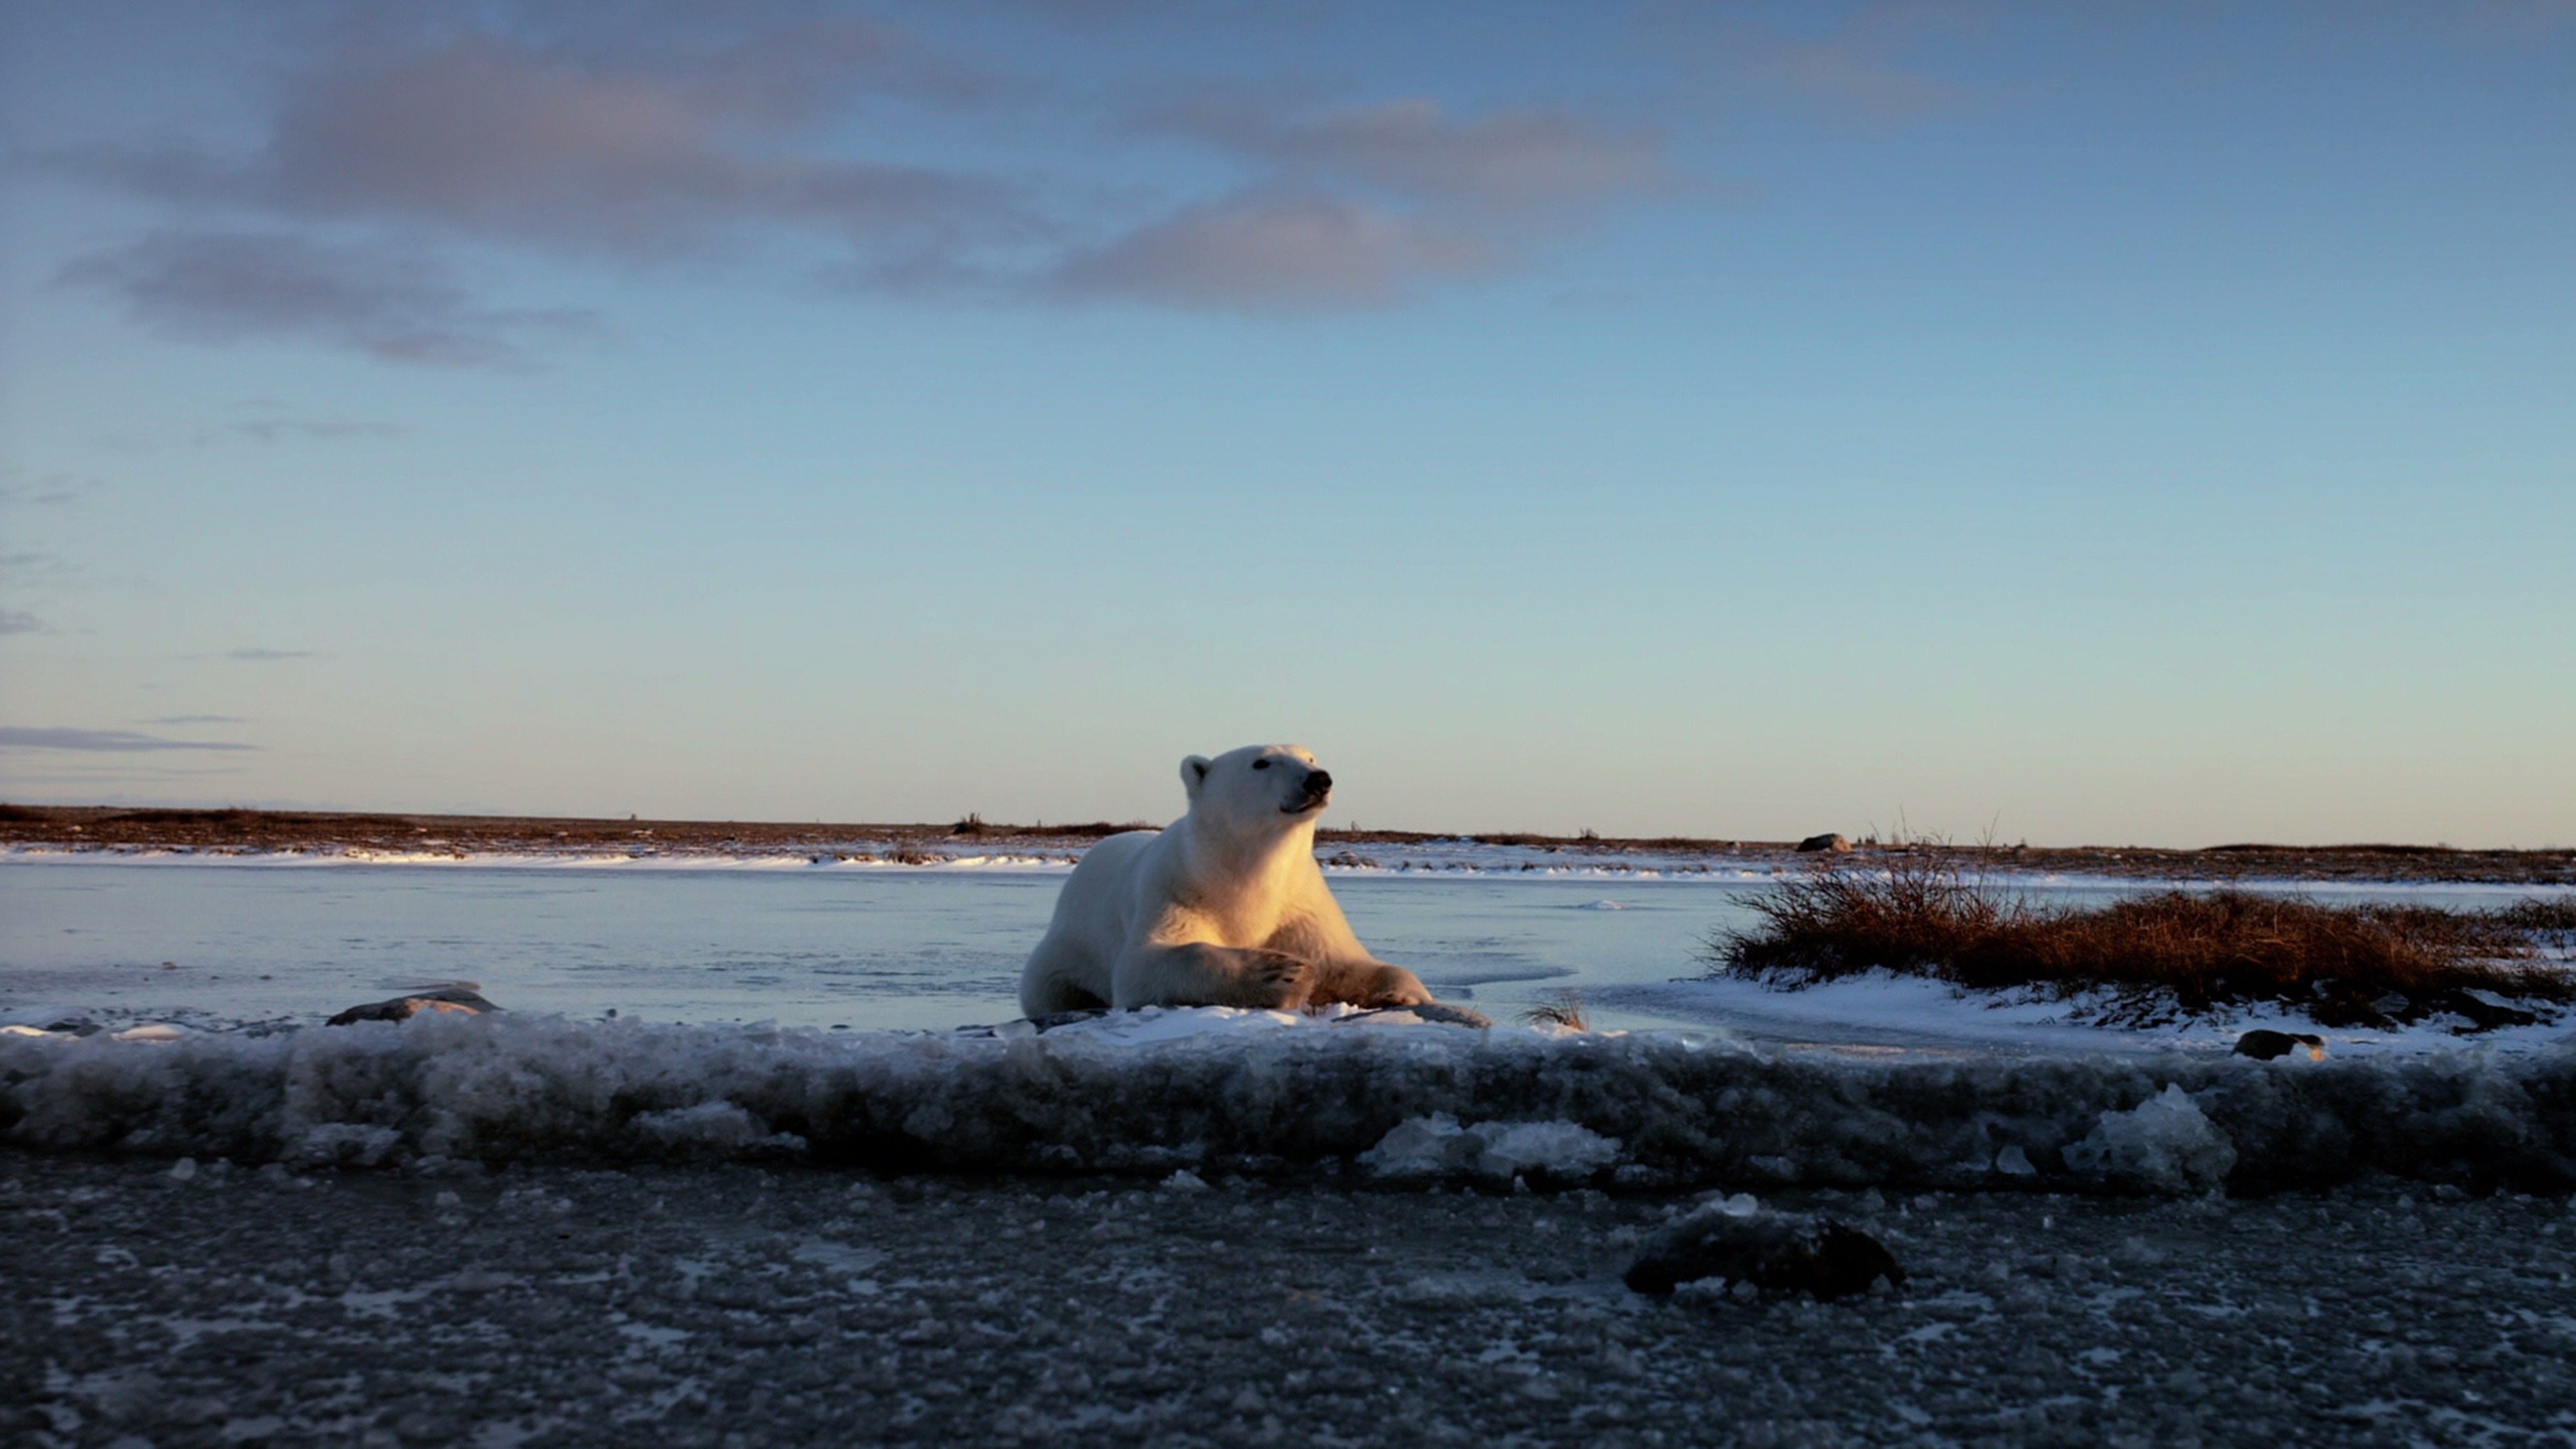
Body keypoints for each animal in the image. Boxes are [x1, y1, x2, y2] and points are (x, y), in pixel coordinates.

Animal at [1020, 737, 1432, 1010]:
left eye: (1310, 755)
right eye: (1262, 763)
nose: (1318, 778)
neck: (1239, 873)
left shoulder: (1300, 905)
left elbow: (1348, 963)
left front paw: (1404, 993)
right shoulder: (1175, 888)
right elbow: (1146, 963)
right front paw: (1280, 973)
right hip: (1068, 945)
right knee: (1047, 988)